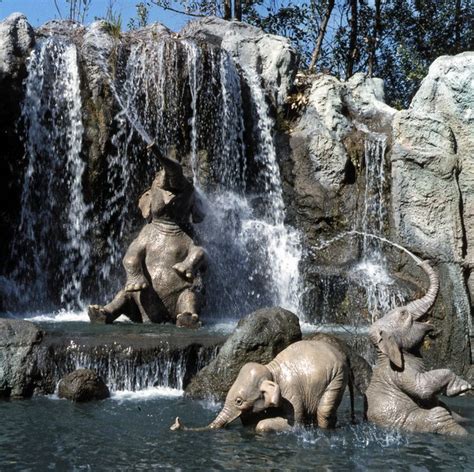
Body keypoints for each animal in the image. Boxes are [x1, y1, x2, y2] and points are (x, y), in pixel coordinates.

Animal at [88, 144, 206, 328]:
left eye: (190, 182)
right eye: (156, 176)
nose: (152, 145)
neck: (168, 221)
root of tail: (160, 319)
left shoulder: (192, 234)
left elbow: (201, 251)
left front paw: (181, 269)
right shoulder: (143, 236)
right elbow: (131, 253)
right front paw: (138, 284)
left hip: (184, 295)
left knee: (190, 296)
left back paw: (188, 319)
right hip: (135, 302)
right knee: (124, 295)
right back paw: (97, 313)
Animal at [169, 340, 348, 432]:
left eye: (239, 401)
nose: (175, 424)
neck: (271, 369)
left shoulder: (292, 394)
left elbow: (293, 423)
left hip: (337, 377)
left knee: (324, 411)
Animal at [364, 262, 472, 436]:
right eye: (403, 313)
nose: (420, 262)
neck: (383, 351)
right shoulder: (399, 372)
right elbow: (421, 387)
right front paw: (463, 388)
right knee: (440, 414)